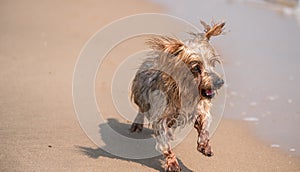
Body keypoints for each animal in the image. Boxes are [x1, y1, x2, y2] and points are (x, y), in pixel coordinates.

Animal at [130, 20, 224, 171]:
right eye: (196, 68)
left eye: (212, 63)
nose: (219, 82)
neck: (184, 91)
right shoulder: (160, 118)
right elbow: (165, 144)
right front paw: (172, 162)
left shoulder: (200, 107)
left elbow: (204, 123)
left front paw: (204, 144)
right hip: (141, 96)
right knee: (141, 110)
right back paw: (137, 125)